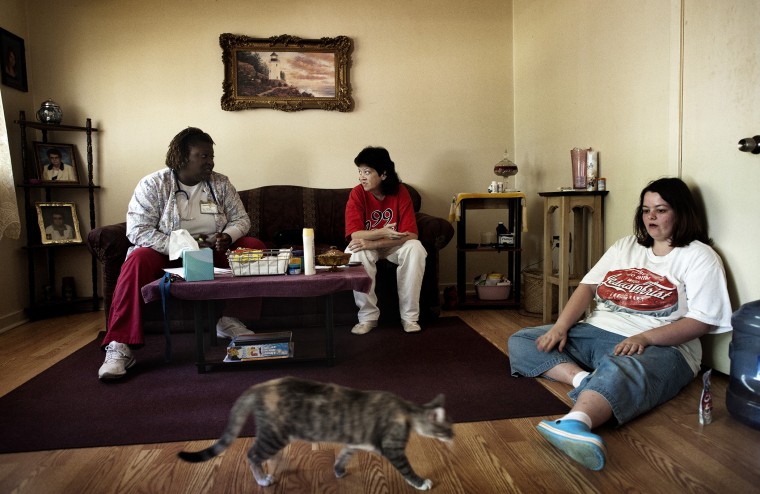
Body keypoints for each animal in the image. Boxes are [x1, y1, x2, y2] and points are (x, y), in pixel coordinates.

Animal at [178, 376, 452, 488]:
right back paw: (263, 479)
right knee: (252, 455)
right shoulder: (393, 447)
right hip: (275, 434)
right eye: (448, 427)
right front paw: (421, 482)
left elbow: (344, 454)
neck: (406, 411)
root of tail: (260, 386)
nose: (454, 437)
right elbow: (407, 469)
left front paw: (339, 470)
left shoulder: (356, 441)